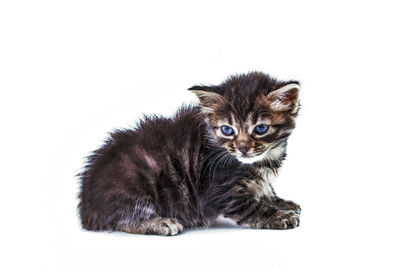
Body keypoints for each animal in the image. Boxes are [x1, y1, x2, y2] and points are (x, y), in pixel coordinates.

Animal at [78, 71, 300, 237]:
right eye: (227, 130)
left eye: (261, 128)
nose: (243, 148)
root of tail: (86, 204)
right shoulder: (219, 188)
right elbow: (251, 207)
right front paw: (278, 216)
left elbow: (266, 190)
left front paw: (281, 202)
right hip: (133, 181)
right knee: (122, 219)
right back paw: (160, 223)